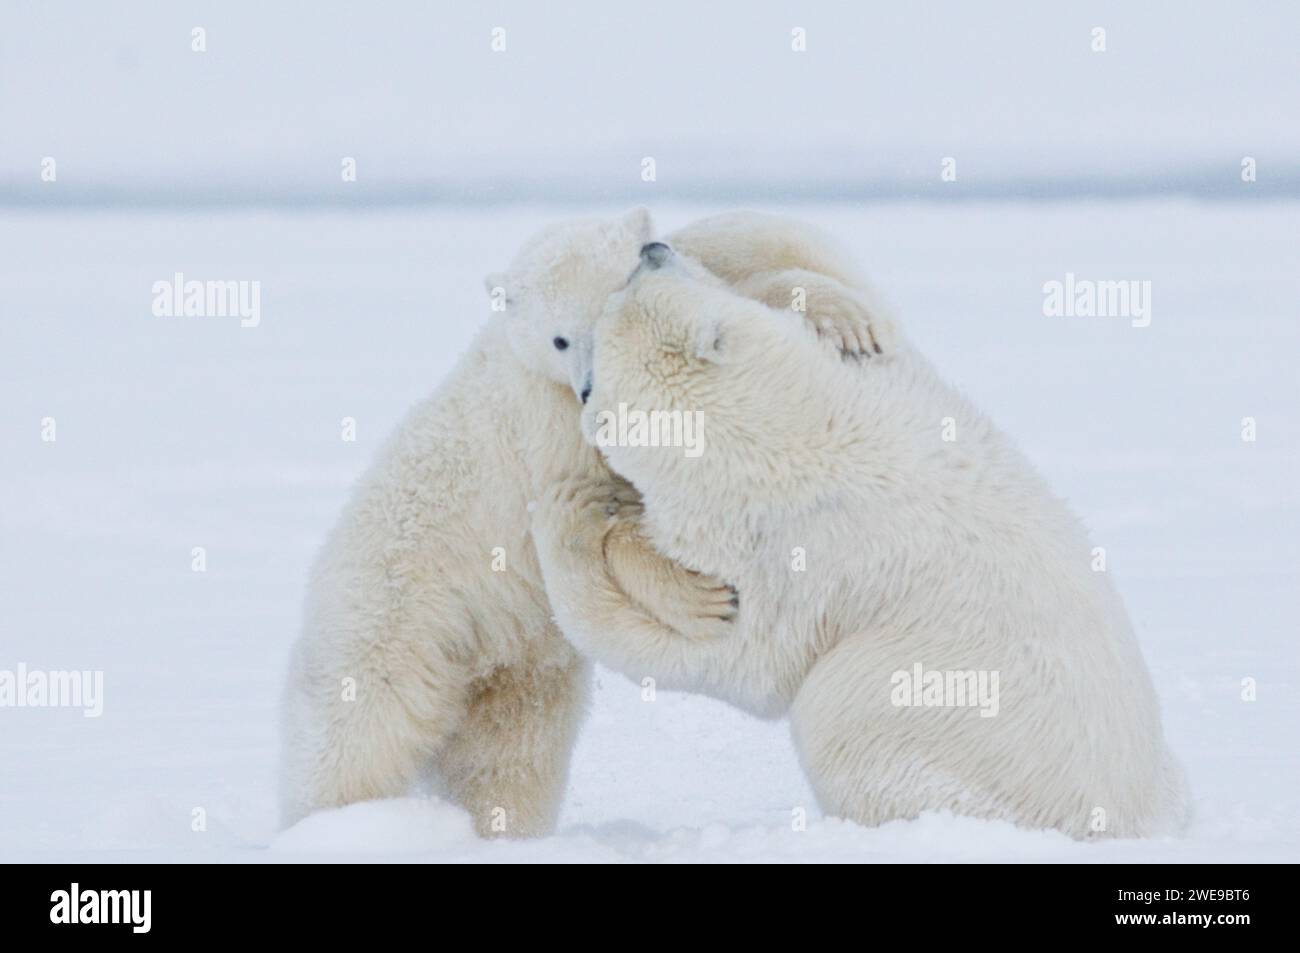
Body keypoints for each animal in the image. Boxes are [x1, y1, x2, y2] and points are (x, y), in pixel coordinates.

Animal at [282, 206, 894, 832]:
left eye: (613, 310)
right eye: (561, 337)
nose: (588, 389)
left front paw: (848, 323)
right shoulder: (547, 426)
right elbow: (613, 499)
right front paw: (702, 600)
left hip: (516, 665)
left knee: (511, 753)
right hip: (393, 621)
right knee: (360, 738)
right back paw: (337, 821)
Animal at [527, 241, 1190, 837]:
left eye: (627, 291)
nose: (653, 247)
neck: (798, 442)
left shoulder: (788, 561)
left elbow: (736, 663)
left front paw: (596, 529)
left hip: (907, 709)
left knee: (837, 720)